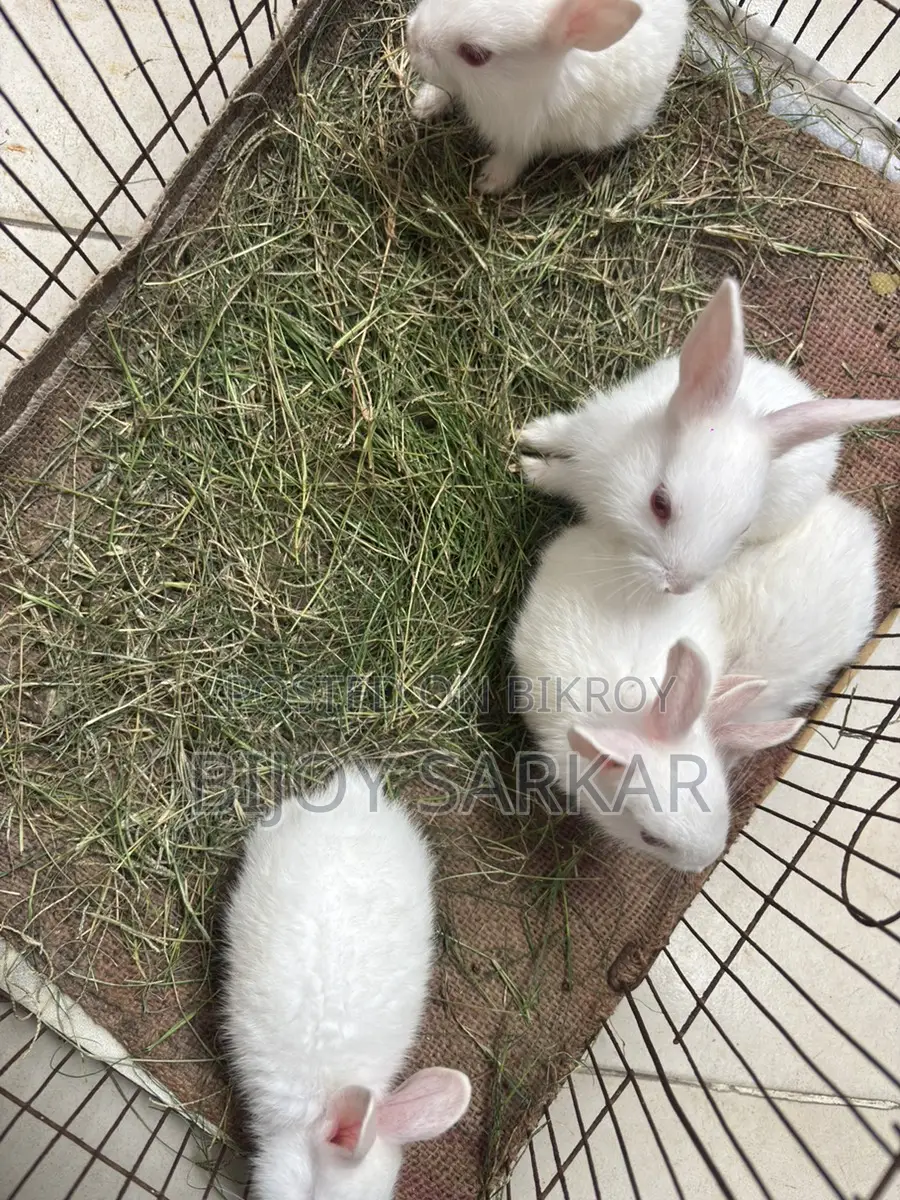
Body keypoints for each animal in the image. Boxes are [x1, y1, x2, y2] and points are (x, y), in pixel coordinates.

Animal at [405, 0, 689, 194]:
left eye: (475, 55)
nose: (413, 38)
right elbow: (446, 88)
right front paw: (423, 105)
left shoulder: (528, 135)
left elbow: (515, 155)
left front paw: (490, 182)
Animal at [518, 275, 900, 595]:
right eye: (660, 504)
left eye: (743, 530)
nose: (678, 587)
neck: (614, 463)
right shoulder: (588, 430)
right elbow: (562, 439)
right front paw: (528, 438)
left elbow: (562, 476)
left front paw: (529, 470)